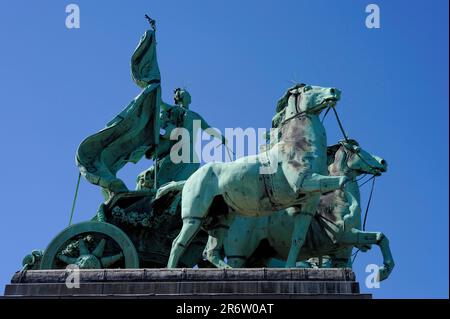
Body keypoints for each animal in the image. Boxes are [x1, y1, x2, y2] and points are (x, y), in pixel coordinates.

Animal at [167, 84, 350, 268]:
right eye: (307, 88)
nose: (334, 91)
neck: (298, 145)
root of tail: (188, 180)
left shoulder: (307, 207)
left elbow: (297, 240)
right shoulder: (302, 182)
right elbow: (343, 180)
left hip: (221, 220)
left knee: (210, 252)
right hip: (194, 217)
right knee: (178, 243)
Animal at [222, 140, 394, 282]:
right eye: (358, 150)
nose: (383, 162)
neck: (338, 199)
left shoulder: (344, 251)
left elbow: (380, 237)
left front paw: (383, 270)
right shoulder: (344, 235)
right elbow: (380, 237)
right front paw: (383, 271)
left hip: (259, 255)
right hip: (239, 251)